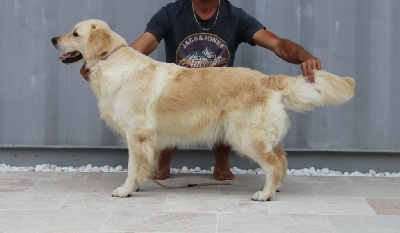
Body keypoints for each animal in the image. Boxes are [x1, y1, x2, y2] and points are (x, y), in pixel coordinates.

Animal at [51, 19, 354, 200]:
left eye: (75, 33)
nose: (53, 39)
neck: (110, 61)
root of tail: (267, 78)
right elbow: (142, 166)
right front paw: (137, 185)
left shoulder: (137, 133)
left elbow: (132, 166)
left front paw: (126, 190)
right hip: (263, 134)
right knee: (282, 160)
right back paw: (276, 188)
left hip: (245, 135)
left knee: (273, 163)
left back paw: (264, 194)